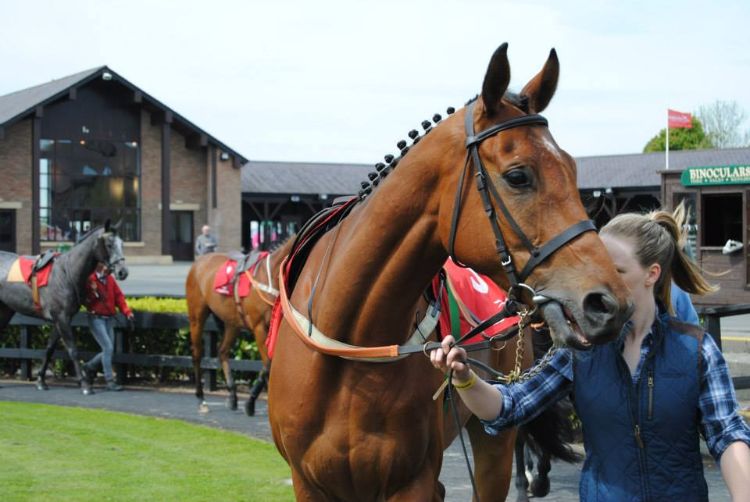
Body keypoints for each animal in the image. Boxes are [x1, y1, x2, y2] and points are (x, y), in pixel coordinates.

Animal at [0, 222, 128, 394]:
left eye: (122, 244)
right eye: (109, 244)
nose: (123, 272)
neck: (67, 273)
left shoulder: (60, 319)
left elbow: (49, 348)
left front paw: (41, 381)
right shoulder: (62, 318)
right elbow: (73, 350)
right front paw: (84, 384)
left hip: (5, 310)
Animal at [185, 239, 294, 416]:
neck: (270, 278)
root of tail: (198, 262)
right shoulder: (259, 327)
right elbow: (268, 364)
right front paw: (253, 402)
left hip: (232, 323)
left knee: (222, 351)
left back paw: (232, 395)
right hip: (196, 316)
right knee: (197, 354)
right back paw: (201, 398)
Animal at [270, 44, 636, 502]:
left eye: (571, 169)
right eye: (518, 175)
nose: (607, 302)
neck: (350, 349)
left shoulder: (412, 482)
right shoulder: (310, 482)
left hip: (494, 442)